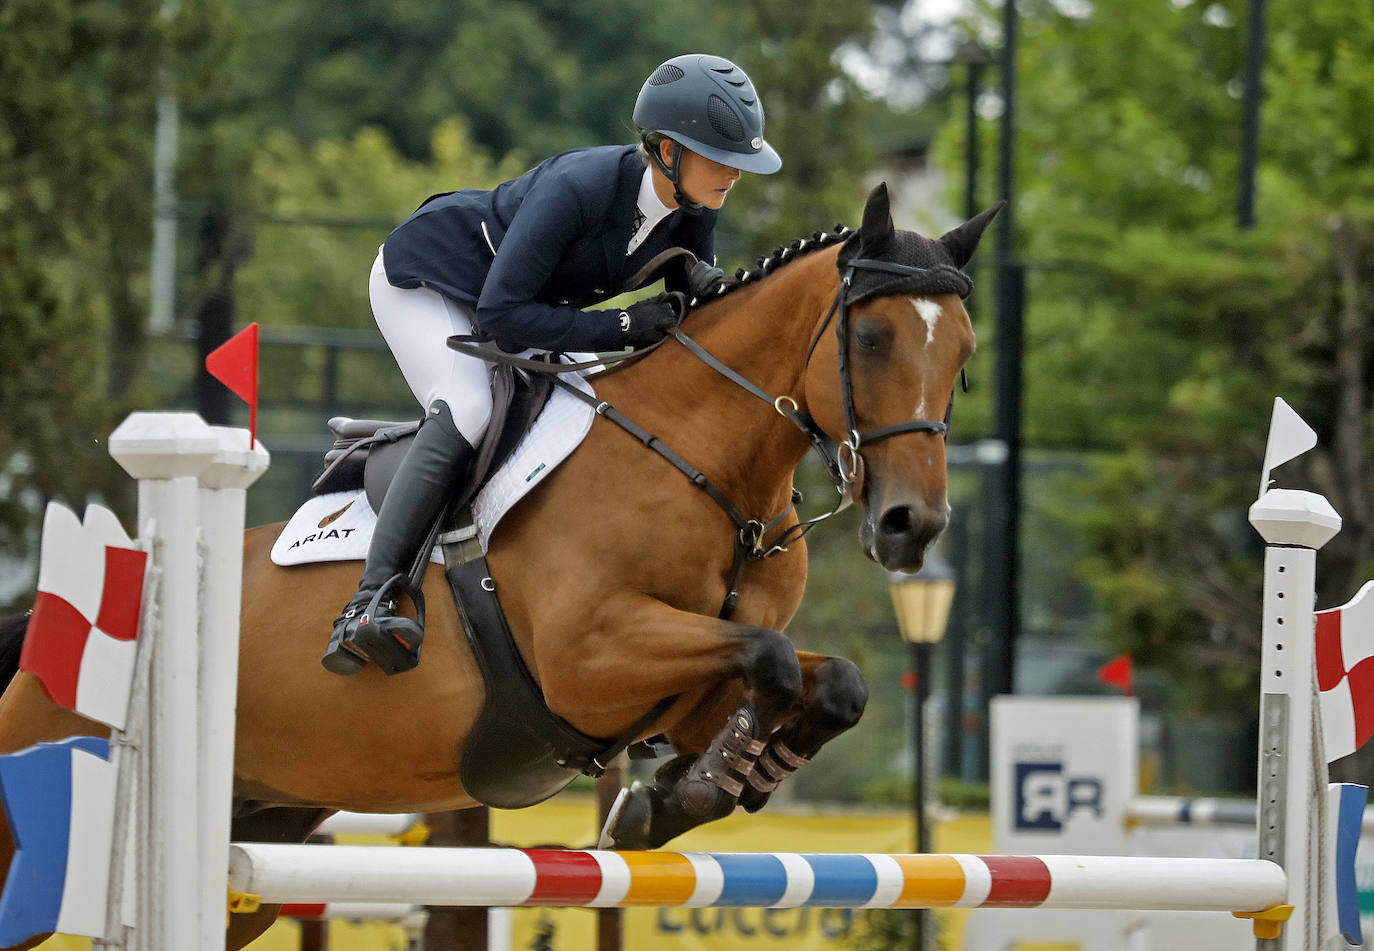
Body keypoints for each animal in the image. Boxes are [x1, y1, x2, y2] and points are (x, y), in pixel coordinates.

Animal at [0, 181, 1000, 945]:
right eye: (870, 339)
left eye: (964, 352)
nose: (912, 525)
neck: (708, 462)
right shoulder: (588, 657)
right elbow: (773, 657)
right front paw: (691, 790)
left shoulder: (677, 685)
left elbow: (829, 682)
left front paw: (691, 792)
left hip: (261, 831)